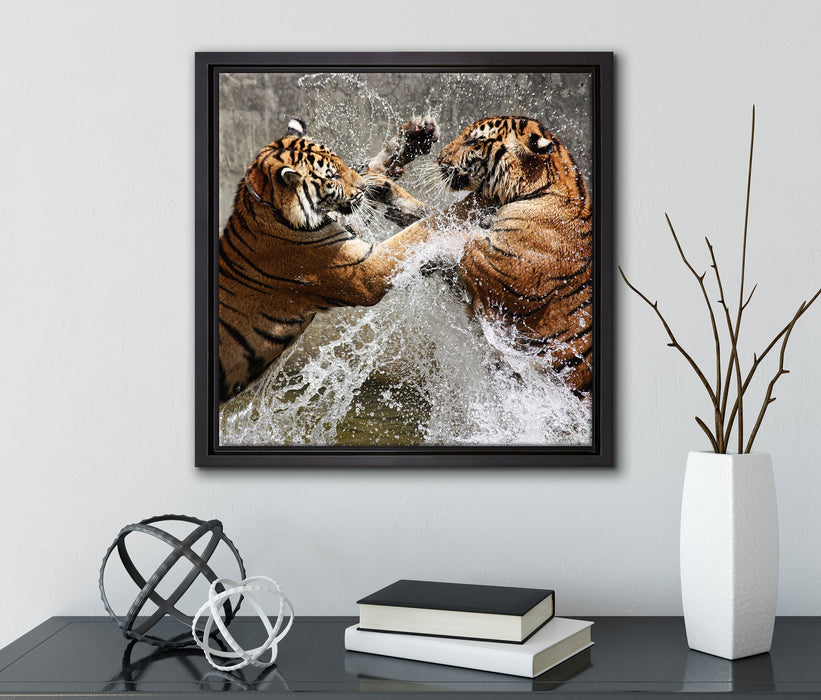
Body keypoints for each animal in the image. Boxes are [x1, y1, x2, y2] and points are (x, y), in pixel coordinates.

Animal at [218, 118, 439, 403]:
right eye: (332, 177)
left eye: (342, 163)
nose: (363, 186)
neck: (270, 206)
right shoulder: (364, 271)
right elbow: (416, 232)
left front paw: (412, 138)